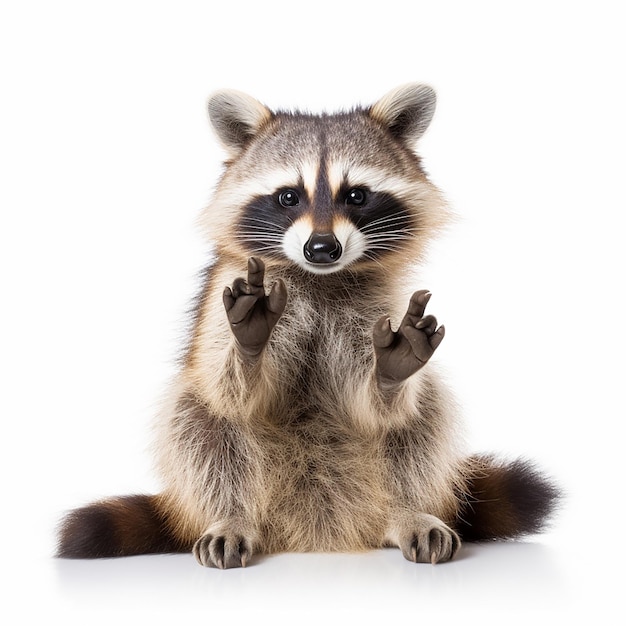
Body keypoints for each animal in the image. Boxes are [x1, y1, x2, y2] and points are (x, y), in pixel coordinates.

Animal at [57, 83, 556, 564]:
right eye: (288, 196)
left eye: (355, 195)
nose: (321, 248)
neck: (320, 278)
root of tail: (314, 528)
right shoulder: (225, 292)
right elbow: (230, 392)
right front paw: (248, 345)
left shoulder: (378, 304)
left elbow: (381, 406)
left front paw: (390, 371)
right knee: (198, 420)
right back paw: (233, 516)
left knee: (423, 416)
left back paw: (406, 510)